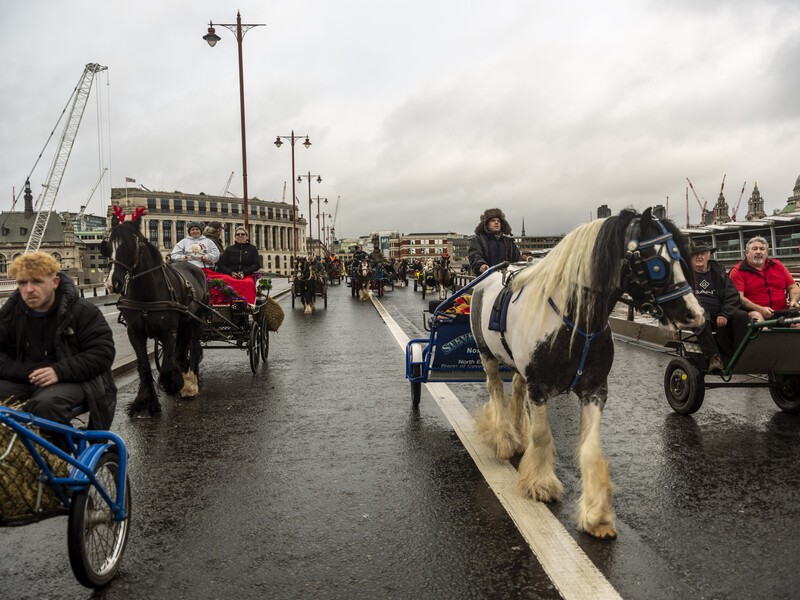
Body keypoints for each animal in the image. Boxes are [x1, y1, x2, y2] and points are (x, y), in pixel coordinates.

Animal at [102, 206, 209, 418]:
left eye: (133, 245)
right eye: (108, 246)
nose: (113, 283)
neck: (146, 295)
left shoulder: (169, 332)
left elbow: (166, 366)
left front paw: (174, 384)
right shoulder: (135, 332)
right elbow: (144, 365)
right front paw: (144, 402)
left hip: (197, 320)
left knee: (193, 347)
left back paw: (190, 384)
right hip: (184, 323)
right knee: (182, 351)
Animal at [472, 207, 704, 540]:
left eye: (680, 257)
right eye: (657, 263)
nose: (696, 314)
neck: (573, 318)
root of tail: (488, 277)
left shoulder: (595, 389)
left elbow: (590, 448)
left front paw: (597, 515)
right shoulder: (539, 388)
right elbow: (542, 434)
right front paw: (541, 483)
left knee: (515, 389)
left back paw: (518, 435)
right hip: (487, 356)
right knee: (495, 390)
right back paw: (504, 438)